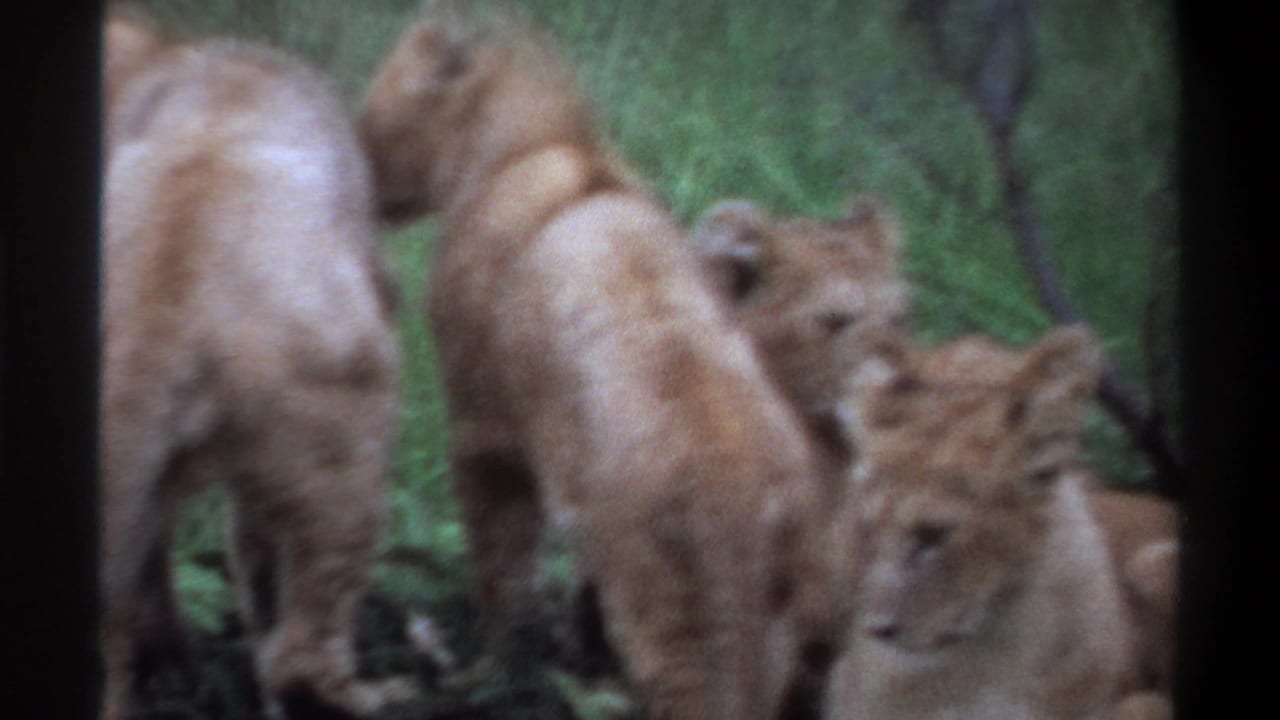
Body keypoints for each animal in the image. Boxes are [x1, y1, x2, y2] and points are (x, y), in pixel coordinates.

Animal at [359, 13, 856, 720]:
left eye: (374, 110)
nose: (355, 174)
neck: (533, 146)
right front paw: (568, 656)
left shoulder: (486, 431)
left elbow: (501, 573)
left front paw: (483, 676)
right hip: (772, 631)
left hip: (668, 615)